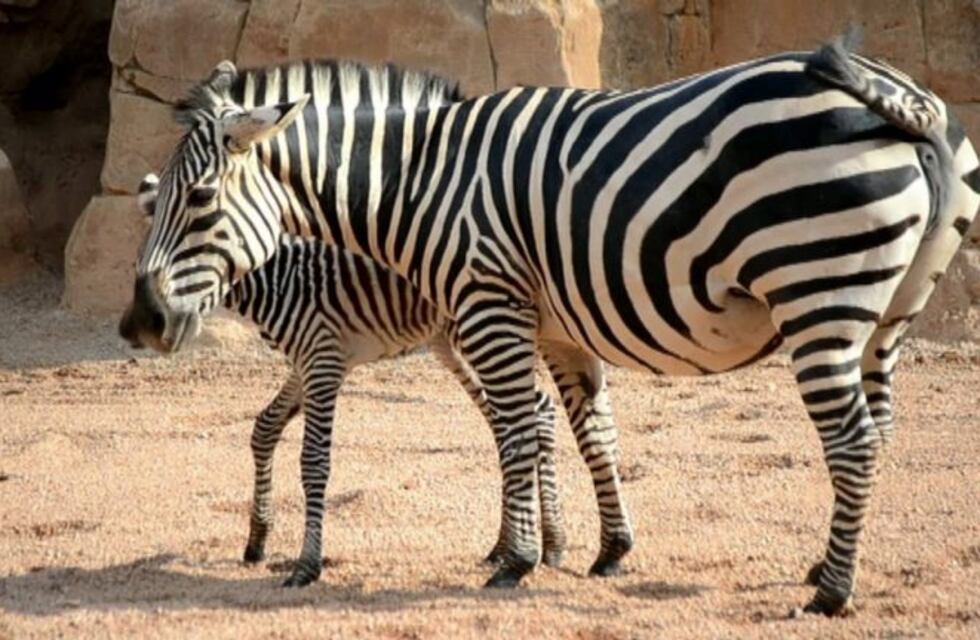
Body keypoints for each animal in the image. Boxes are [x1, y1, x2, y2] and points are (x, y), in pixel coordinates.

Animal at [123, 175, 569, 588]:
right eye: (135, 266)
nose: (132, 330)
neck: (276, 279)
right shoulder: (306, 362)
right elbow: (264, 427)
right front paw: (257, 539)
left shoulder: (322, 361)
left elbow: (313, 461)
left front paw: (306, 566)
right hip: (453, 344)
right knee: (521, 418)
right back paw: (518, 545)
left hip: (476, 333)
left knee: (535, 413)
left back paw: (548, 544)